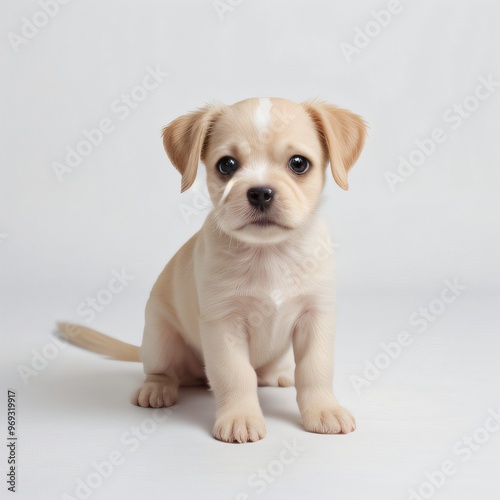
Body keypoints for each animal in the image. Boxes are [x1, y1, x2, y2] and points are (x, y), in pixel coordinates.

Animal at [59, 96, 368, 442]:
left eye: (298, 163)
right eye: (227, 165)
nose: (260, 192)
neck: (268, 253)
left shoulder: (316, 316)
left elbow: (316, 370)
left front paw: (323, 409)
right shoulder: (224, 323)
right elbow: (235, 375)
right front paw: (240, 417)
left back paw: (278, 374)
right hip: (159, 339)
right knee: (163, 371)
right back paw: (157, 389)